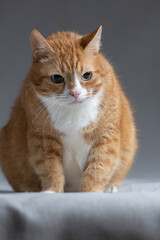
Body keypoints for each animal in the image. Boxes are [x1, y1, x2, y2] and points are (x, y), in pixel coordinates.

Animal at [0, 26, 138, 192]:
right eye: (57, 78)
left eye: (87, 75)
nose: (75, 93)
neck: (73, 115)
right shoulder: (43, 140)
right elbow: (50, 169)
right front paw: (51, 191)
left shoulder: (105, 138)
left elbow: (98, 169)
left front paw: (91, 192)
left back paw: (110, 187)